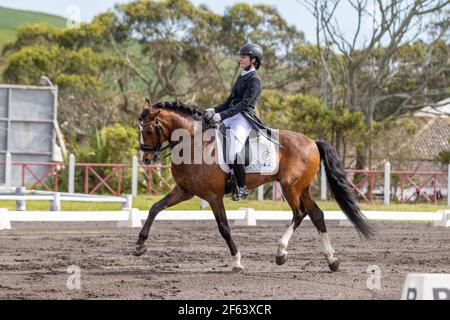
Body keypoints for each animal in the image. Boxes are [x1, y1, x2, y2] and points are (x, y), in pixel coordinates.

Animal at [133, 98, 372, 272]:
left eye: (149, 131)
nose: (145, 159)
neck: (194, 143)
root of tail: (312, 142)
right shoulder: (184, 191)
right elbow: (155, 208)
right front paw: (139, 246)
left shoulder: (213, 196)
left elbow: (224, 228)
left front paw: (237, 262)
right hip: (302, 188)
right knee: (317, 215)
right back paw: (332, 260)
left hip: (290, 187)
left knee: (299, 213)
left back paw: (281, 253)